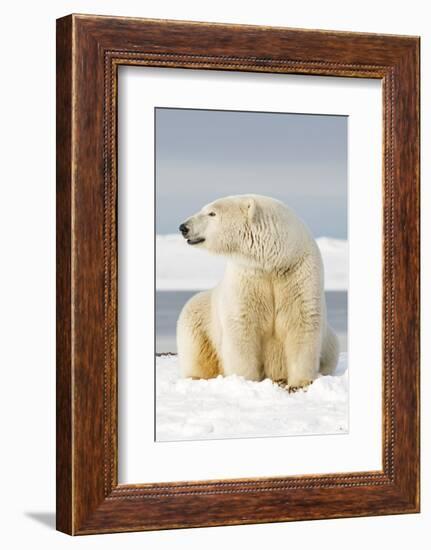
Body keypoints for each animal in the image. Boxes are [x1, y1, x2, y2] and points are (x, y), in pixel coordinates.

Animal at [177, 196, 340, 390]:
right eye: (206, 209)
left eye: (212, 213)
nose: (183, 227)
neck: (274, 262)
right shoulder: (247, 277)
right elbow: (242, 326)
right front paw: (245, 380)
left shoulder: (299, 274)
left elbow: (301, 322)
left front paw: (300, 383)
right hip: (198, 318)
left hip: (330, 342)